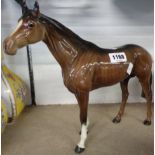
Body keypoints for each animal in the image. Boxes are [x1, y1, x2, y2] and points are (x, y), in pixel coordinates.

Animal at [3, 1, 152, 154]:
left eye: (31, 24)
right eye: (19, 21)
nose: (7, 45)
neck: (75, 57)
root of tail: (144, 51)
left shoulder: (83, 92)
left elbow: (82, 116)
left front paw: (81, 144)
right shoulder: (77, 93)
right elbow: (82, 113)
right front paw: (84, 132)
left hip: (143, 78)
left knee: (148, 96)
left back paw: (147, 120)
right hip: (124, 79)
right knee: (125, 95)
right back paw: (117, 118)